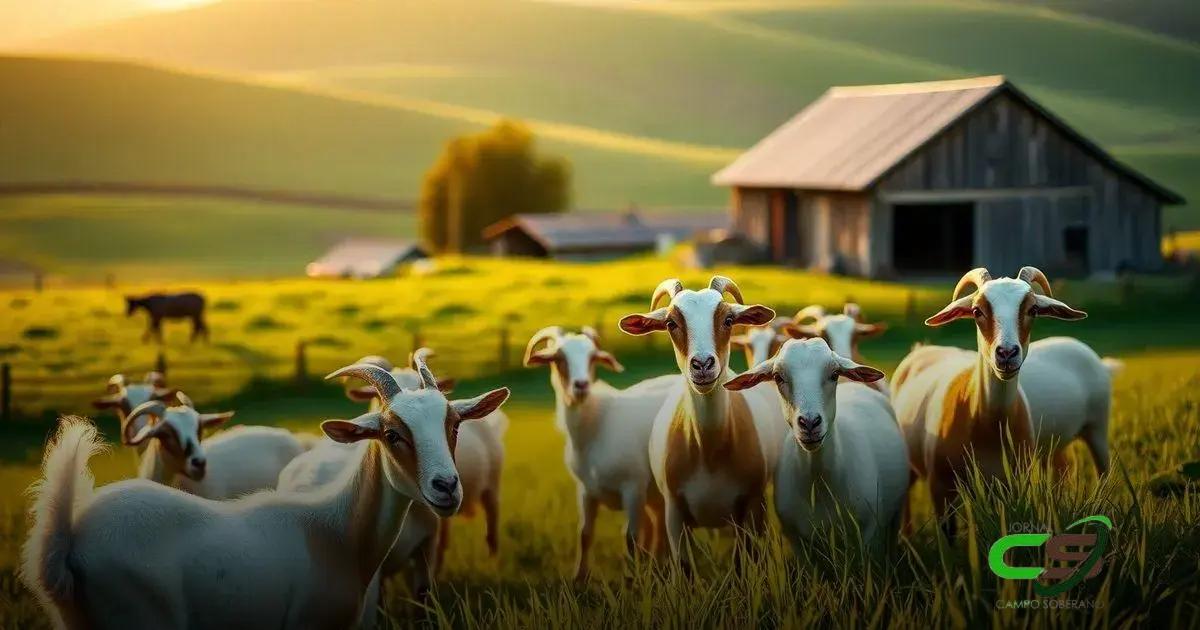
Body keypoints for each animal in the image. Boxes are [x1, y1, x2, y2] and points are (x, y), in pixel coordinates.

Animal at [524, 326, 678, 581]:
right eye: (559, 358)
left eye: (592, 358)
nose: (581, 385)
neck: (597, 426)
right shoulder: (586, 490)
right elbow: (585, 534)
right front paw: (579, 579)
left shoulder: (633, 487)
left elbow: (631, 538)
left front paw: (632, 581)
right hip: (657, 492)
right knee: (659, 525)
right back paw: (660, 567)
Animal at [619, 276, 787, 569]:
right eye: (671, 323)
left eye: (729, 320)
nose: (703, 364)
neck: (710, 451)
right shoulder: (674, 513)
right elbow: (684, 567)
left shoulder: (752, 506)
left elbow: (745, 564)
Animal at [725, 338, 907, 551]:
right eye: (778, 377)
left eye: (834, 374)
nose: (810, 422)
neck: (818, 480)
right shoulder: (797, 539)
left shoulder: (870, 531)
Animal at [891, 266, 1086, 537]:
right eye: (976, 311)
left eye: (1033, 310)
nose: (1006, 353)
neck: (988, 424)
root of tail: (922, 349)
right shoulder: (940, 487)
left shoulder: (1010, 486)